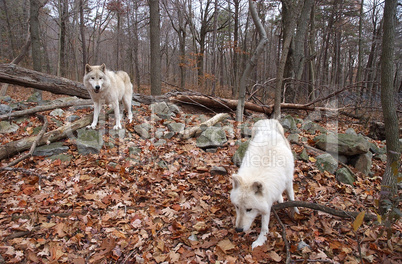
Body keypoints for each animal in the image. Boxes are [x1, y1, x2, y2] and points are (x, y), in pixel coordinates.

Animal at [229, 119, 298, 250]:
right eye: (237, 207)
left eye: (249, 209)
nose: (238, 229)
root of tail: (268, 120)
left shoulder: (287, 182)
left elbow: (291, 197)